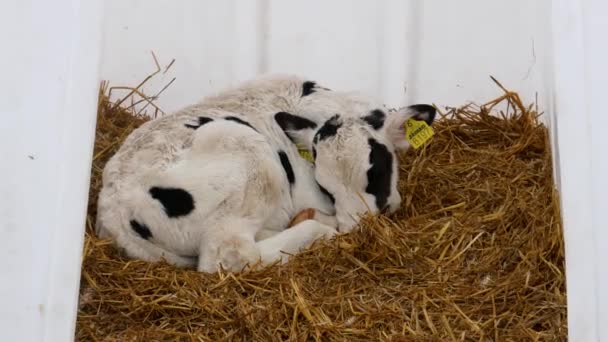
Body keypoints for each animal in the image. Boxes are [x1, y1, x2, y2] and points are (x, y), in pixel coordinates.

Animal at [96, 74, 436, 272]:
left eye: (375, 173)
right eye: (326, 188)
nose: (356, 230)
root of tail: (114, 207)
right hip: (246, 155)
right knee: (232, 257)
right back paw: (317, 230)